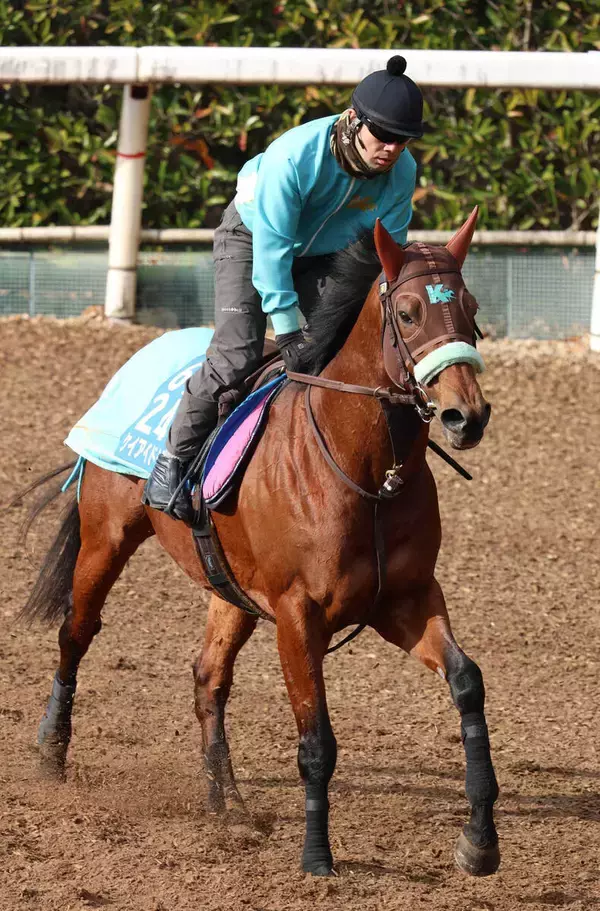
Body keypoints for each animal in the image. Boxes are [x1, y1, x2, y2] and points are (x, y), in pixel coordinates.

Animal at [15, 209, 499, 878]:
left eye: (471, 307)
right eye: (407, 314)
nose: (465, 416)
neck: (366, 470)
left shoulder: (407, 599)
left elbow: (468, 683)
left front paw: (480, 840)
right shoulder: (298, 614)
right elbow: (316, 740)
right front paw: (317, 856)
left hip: (231, 587)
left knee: (208, 676)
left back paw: (228, 803)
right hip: (105, 540)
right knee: (75, 633)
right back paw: (50, 754)